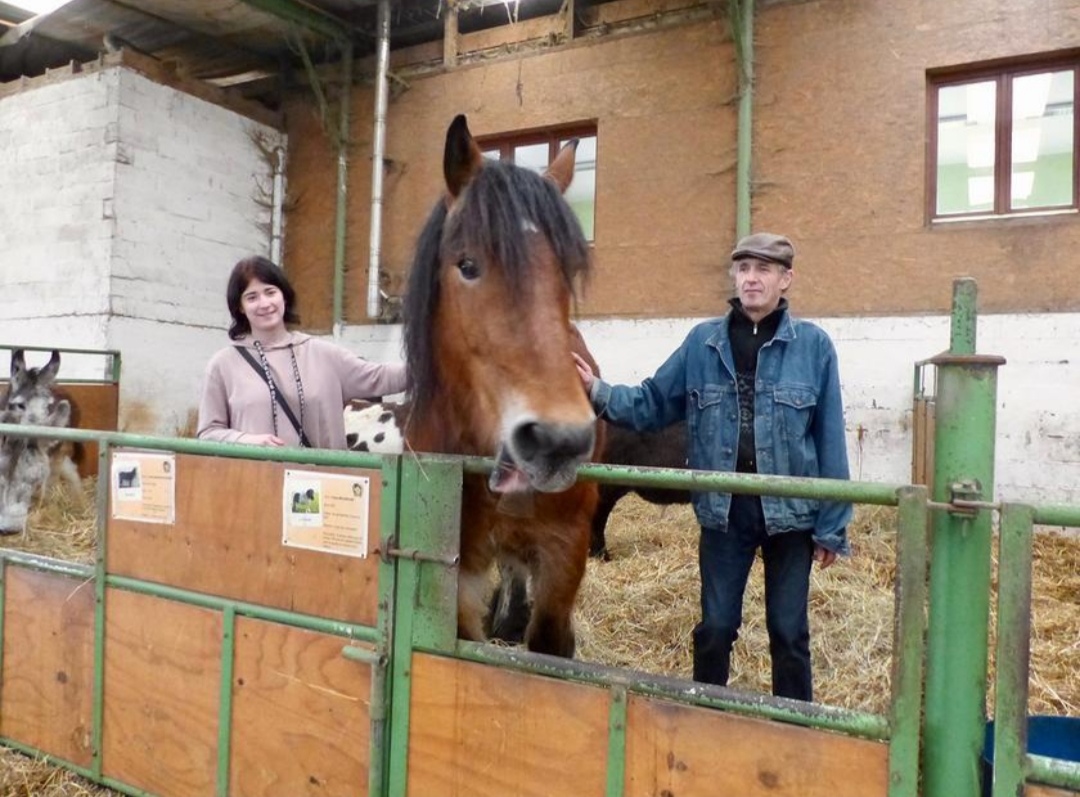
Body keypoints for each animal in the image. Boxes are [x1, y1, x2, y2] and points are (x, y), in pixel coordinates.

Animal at [400, 114, 599, 658]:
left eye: (567, 272)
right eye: (467, 265)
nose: (558, 441)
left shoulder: (565, 551)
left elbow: (551, 644)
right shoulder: (457, 570)